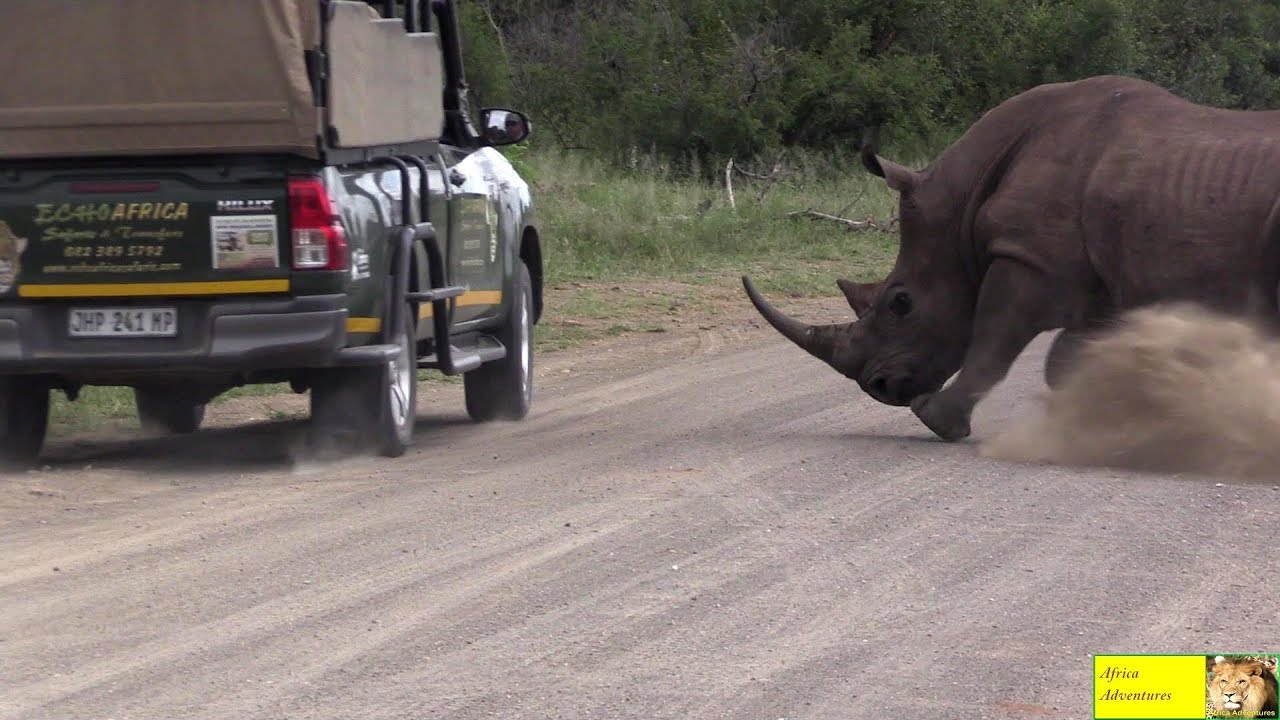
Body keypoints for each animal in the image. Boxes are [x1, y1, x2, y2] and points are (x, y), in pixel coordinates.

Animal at [747, 75, 1280, 440]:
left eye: (901, 302)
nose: (878, 386)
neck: (961, 205)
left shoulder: (1029, 258)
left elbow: (993, 341)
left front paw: (936, 419)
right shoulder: (1096, 278)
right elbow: (1067, 358)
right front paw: (1106, 413)